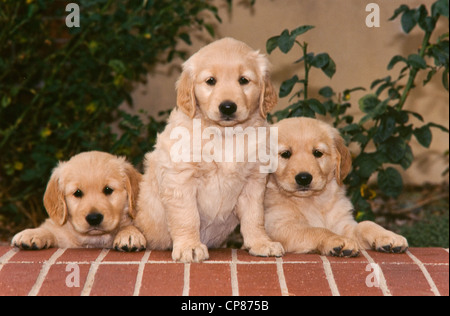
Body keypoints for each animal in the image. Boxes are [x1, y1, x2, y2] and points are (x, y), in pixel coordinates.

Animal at [11, 151, 146, 252]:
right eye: (77, 193)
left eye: (108, 189)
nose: (94, 218)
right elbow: (51, 230)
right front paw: (33, 233)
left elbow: (129, 225)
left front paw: (129, 234)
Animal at [134, 38, 284, 262]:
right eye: (211, 81)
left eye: (244, 80)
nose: (228, 107)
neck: (224, 135)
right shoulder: (181, 178)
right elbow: (187, 216)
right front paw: (190, 246)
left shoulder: (254, 180)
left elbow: (255, 216)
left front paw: (261, 243)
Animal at [264, 118, 408, 256]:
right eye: (285, 154)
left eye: (317, 153)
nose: (304, 178)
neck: (313, 202)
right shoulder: (279, 227)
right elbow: (318, 230)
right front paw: (336, 240)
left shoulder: (343, 223)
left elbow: (365, 224)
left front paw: (388, 236)